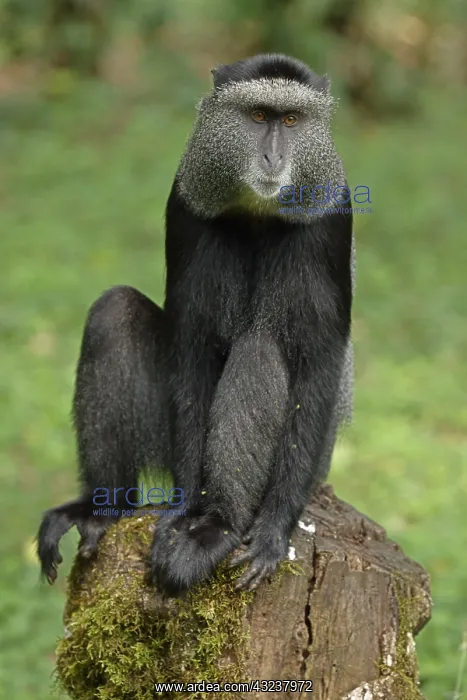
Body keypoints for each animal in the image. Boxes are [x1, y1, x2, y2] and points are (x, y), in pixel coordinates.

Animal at [37, 53, 355, 595]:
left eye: (292, 121)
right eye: (257, 116)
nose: (273, 157)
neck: (256, 212)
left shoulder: (333, 219)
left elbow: (318, 361)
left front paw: (273, 531)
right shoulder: (184, 205)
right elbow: (191, 344)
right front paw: (182, 507)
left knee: (260, 348)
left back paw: (220, 526)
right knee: (114, 311)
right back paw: (104, 510)